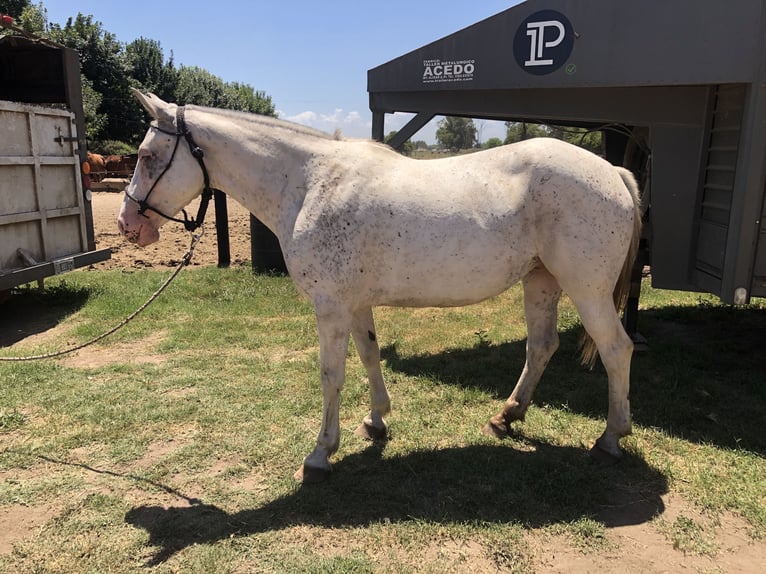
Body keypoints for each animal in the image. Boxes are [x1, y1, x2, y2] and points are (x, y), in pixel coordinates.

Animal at [118, 90, 642, 484]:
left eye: (146, 157)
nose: (128, 225)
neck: (310, 184)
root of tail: (612, 172)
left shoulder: (329, 306)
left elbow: (331, 375)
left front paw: (320, 454)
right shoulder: (354, 304)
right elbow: (370, 355)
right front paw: (376, 421)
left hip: (587, 290)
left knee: (616, 349)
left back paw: (610, 438)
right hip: (541, 282)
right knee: (541, 345)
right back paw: (507, 415)